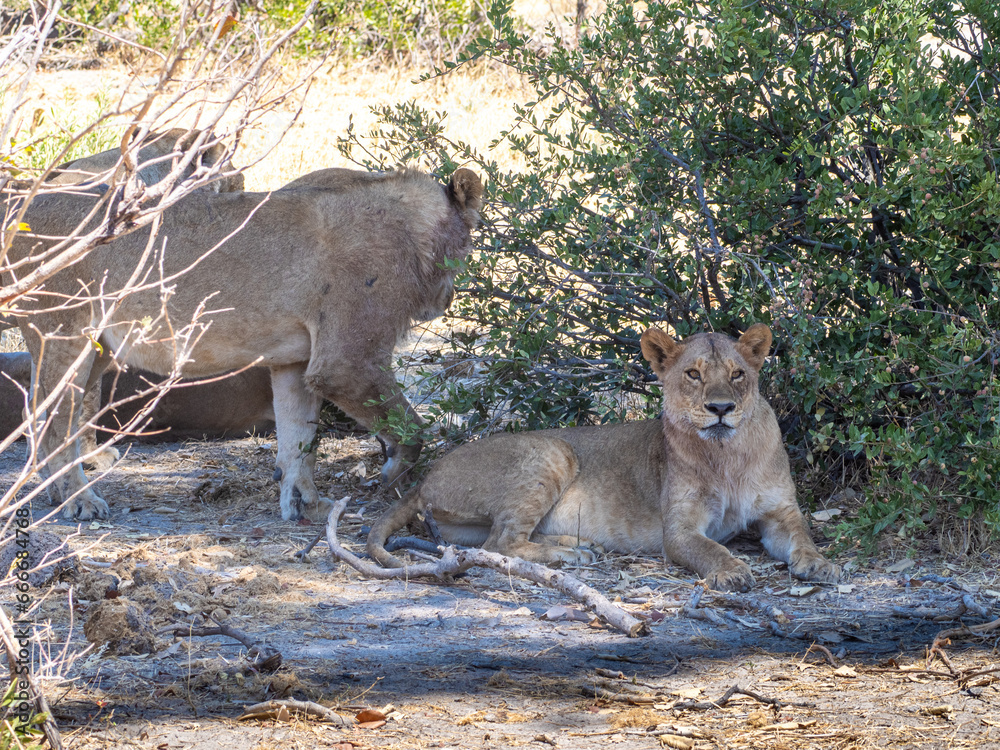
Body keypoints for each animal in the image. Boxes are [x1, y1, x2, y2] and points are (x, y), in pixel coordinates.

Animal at [6, 167, 483, 521]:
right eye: (468, 248)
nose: (447, 300)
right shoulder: (346, 363)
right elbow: (412, 429)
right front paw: (392, 474)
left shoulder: (297, 362)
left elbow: (298, 439)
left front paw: (306, 503)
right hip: (66, 330)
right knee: (54, 420)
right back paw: (78, 500)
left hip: (99, 350)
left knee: (40, 413)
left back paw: (53, 493)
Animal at [366, 324, 841, 592]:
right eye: (693, 374)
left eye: (738, 374)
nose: (721, 408)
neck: (728, 456)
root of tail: (425, 479)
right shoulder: (679, 530)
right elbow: (710, 549)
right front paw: (732, 571)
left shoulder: (780, 512)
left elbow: (803, 537)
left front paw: (820, 565)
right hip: (553, 451)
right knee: (500, 543)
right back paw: (572, 558)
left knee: (501, 540)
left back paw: (579, 546)